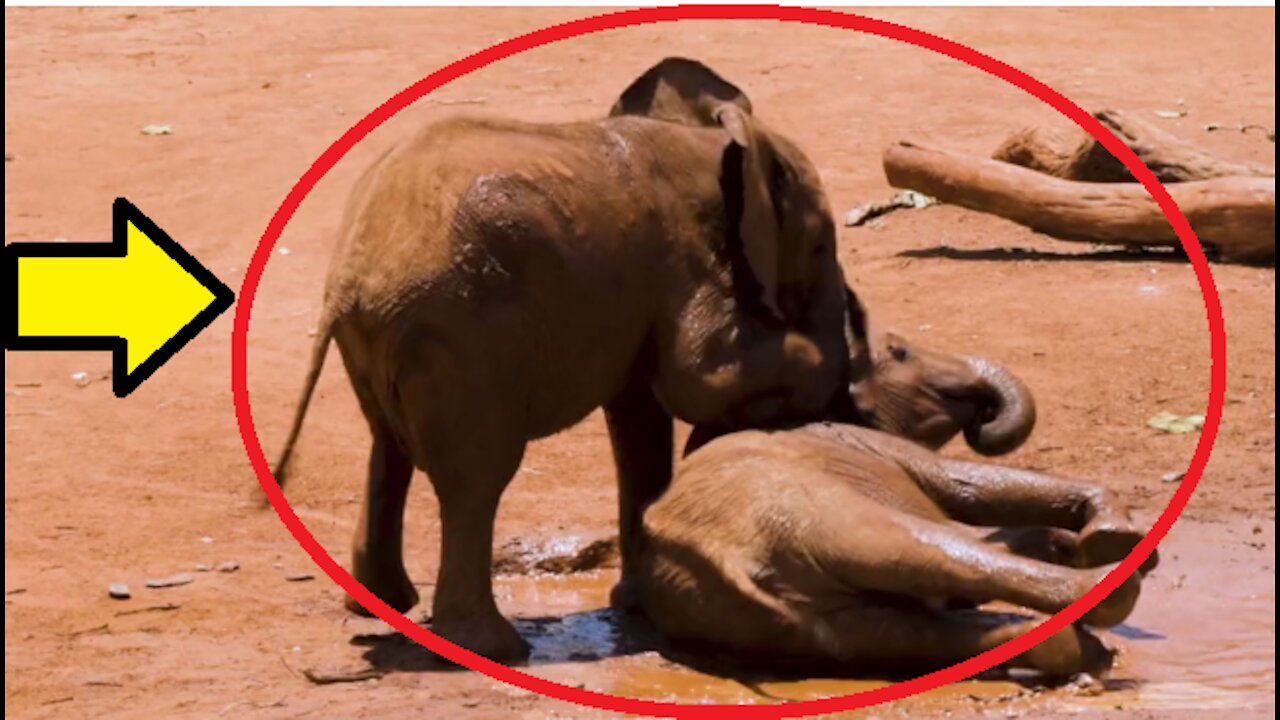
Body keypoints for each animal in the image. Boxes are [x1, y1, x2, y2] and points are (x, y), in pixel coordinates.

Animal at [275, 58, 865, 661]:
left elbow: (639, 418)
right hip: (461, 336)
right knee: (475, 476)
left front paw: (635, 603)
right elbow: (699, 376)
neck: (719, 143)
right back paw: (496, 649)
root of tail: (348, 279)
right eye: (820, 246)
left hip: (392, 338)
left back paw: (382, 604)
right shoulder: (686, 256)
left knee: (388, 447)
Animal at [640, 333, 1152, 676]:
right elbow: (963, 485)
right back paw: (1110, 593)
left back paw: (1078, 649)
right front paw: (1111, 538)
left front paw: (1073, 543)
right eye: (901, 352)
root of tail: (725, 556)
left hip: (759, 617)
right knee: (928, 554)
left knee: (898, 634)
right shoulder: (859, 438)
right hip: (813, 513)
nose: (985, 412)